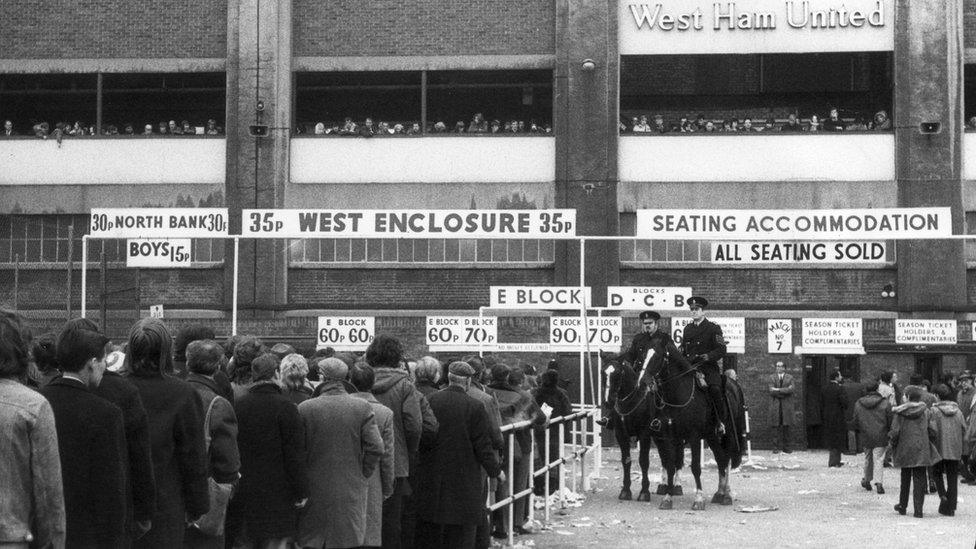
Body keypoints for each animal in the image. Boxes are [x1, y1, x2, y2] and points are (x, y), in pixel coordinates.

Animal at [644, 338, 744, 510]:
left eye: (656, 355)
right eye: (644, 354)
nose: (643, 380)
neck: (678, 395)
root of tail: (734, 384)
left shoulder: (694, 437)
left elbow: (696, 467)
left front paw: (698, 499)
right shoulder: (670, 437)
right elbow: (670, 465)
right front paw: (668, 498)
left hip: (729, 434)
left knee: (727, 459)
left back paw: (727, 495)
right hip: (711, 436)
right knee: (721, 459)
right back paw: (719, 493)